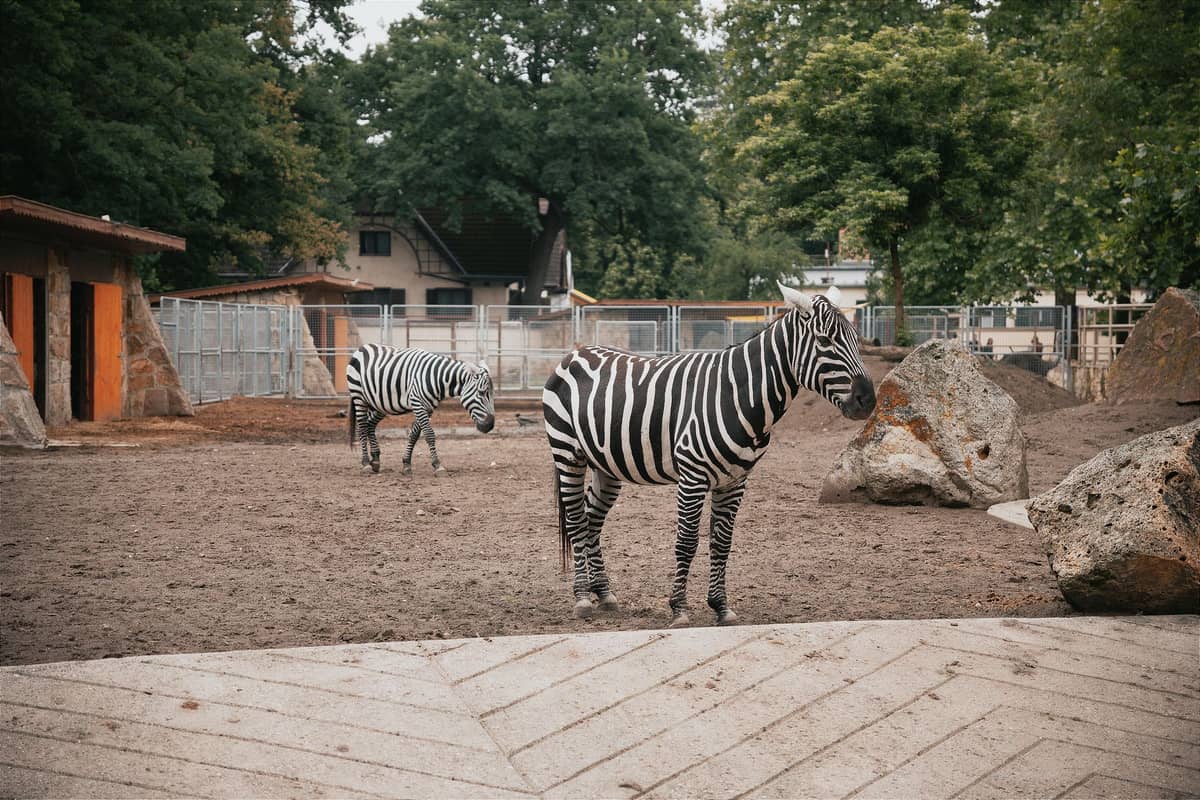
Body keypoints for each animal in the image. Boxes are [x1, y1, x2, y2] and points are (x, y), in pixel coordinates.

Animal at [347, 344, 495, 475]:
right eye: (481, 393)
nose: (490, 425)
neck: (437, 379)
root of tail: (362, 347)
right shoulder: (418, 404)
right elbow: (429, 434)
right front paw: (437, 465)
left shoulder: (428, 408)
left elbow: (414, 435)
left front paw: (406, 463)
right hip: (359, 397)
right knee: (362, 427)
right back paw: (366, 463)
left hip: (380, 403)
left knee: (370, 424)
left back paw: (376, 460)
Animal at [542, 284, 876, 626]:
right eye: (825, 340)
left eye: (854, 338)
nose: (868, 400)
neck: (740, 396)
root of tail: (576, 352)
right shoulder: (693, 476)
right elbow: (687, 542)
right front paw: (679, 608)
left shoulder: (735, 480)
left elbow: (722, 542)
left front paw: (721, 607)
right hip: (568, 452)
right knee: (576, 520)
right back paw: (582, 597)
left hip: (606, 465)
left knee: (592, 519)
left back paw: (604, 592)